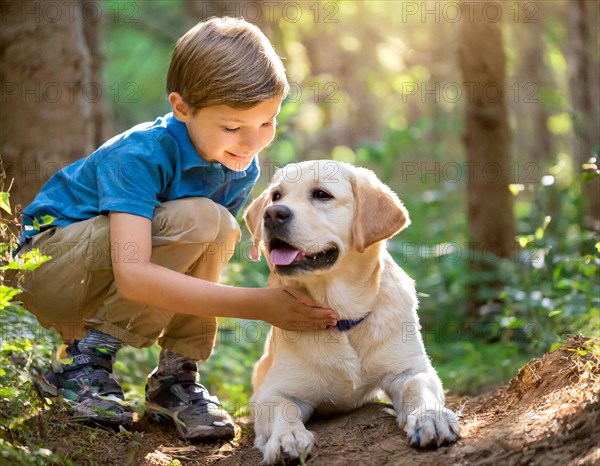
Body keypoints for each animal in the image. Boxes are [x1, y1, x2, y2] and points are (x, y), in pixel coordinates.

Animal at [244, 160, 460, 462]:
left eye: (321, 194)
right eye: (276, 196)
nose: (272, 214)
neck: (341, 318)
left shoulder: (410, 368)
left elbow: (417, 386)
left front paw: (431, 418)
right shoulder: (273, 391)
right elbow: (282, 409)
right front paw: (288, 437)